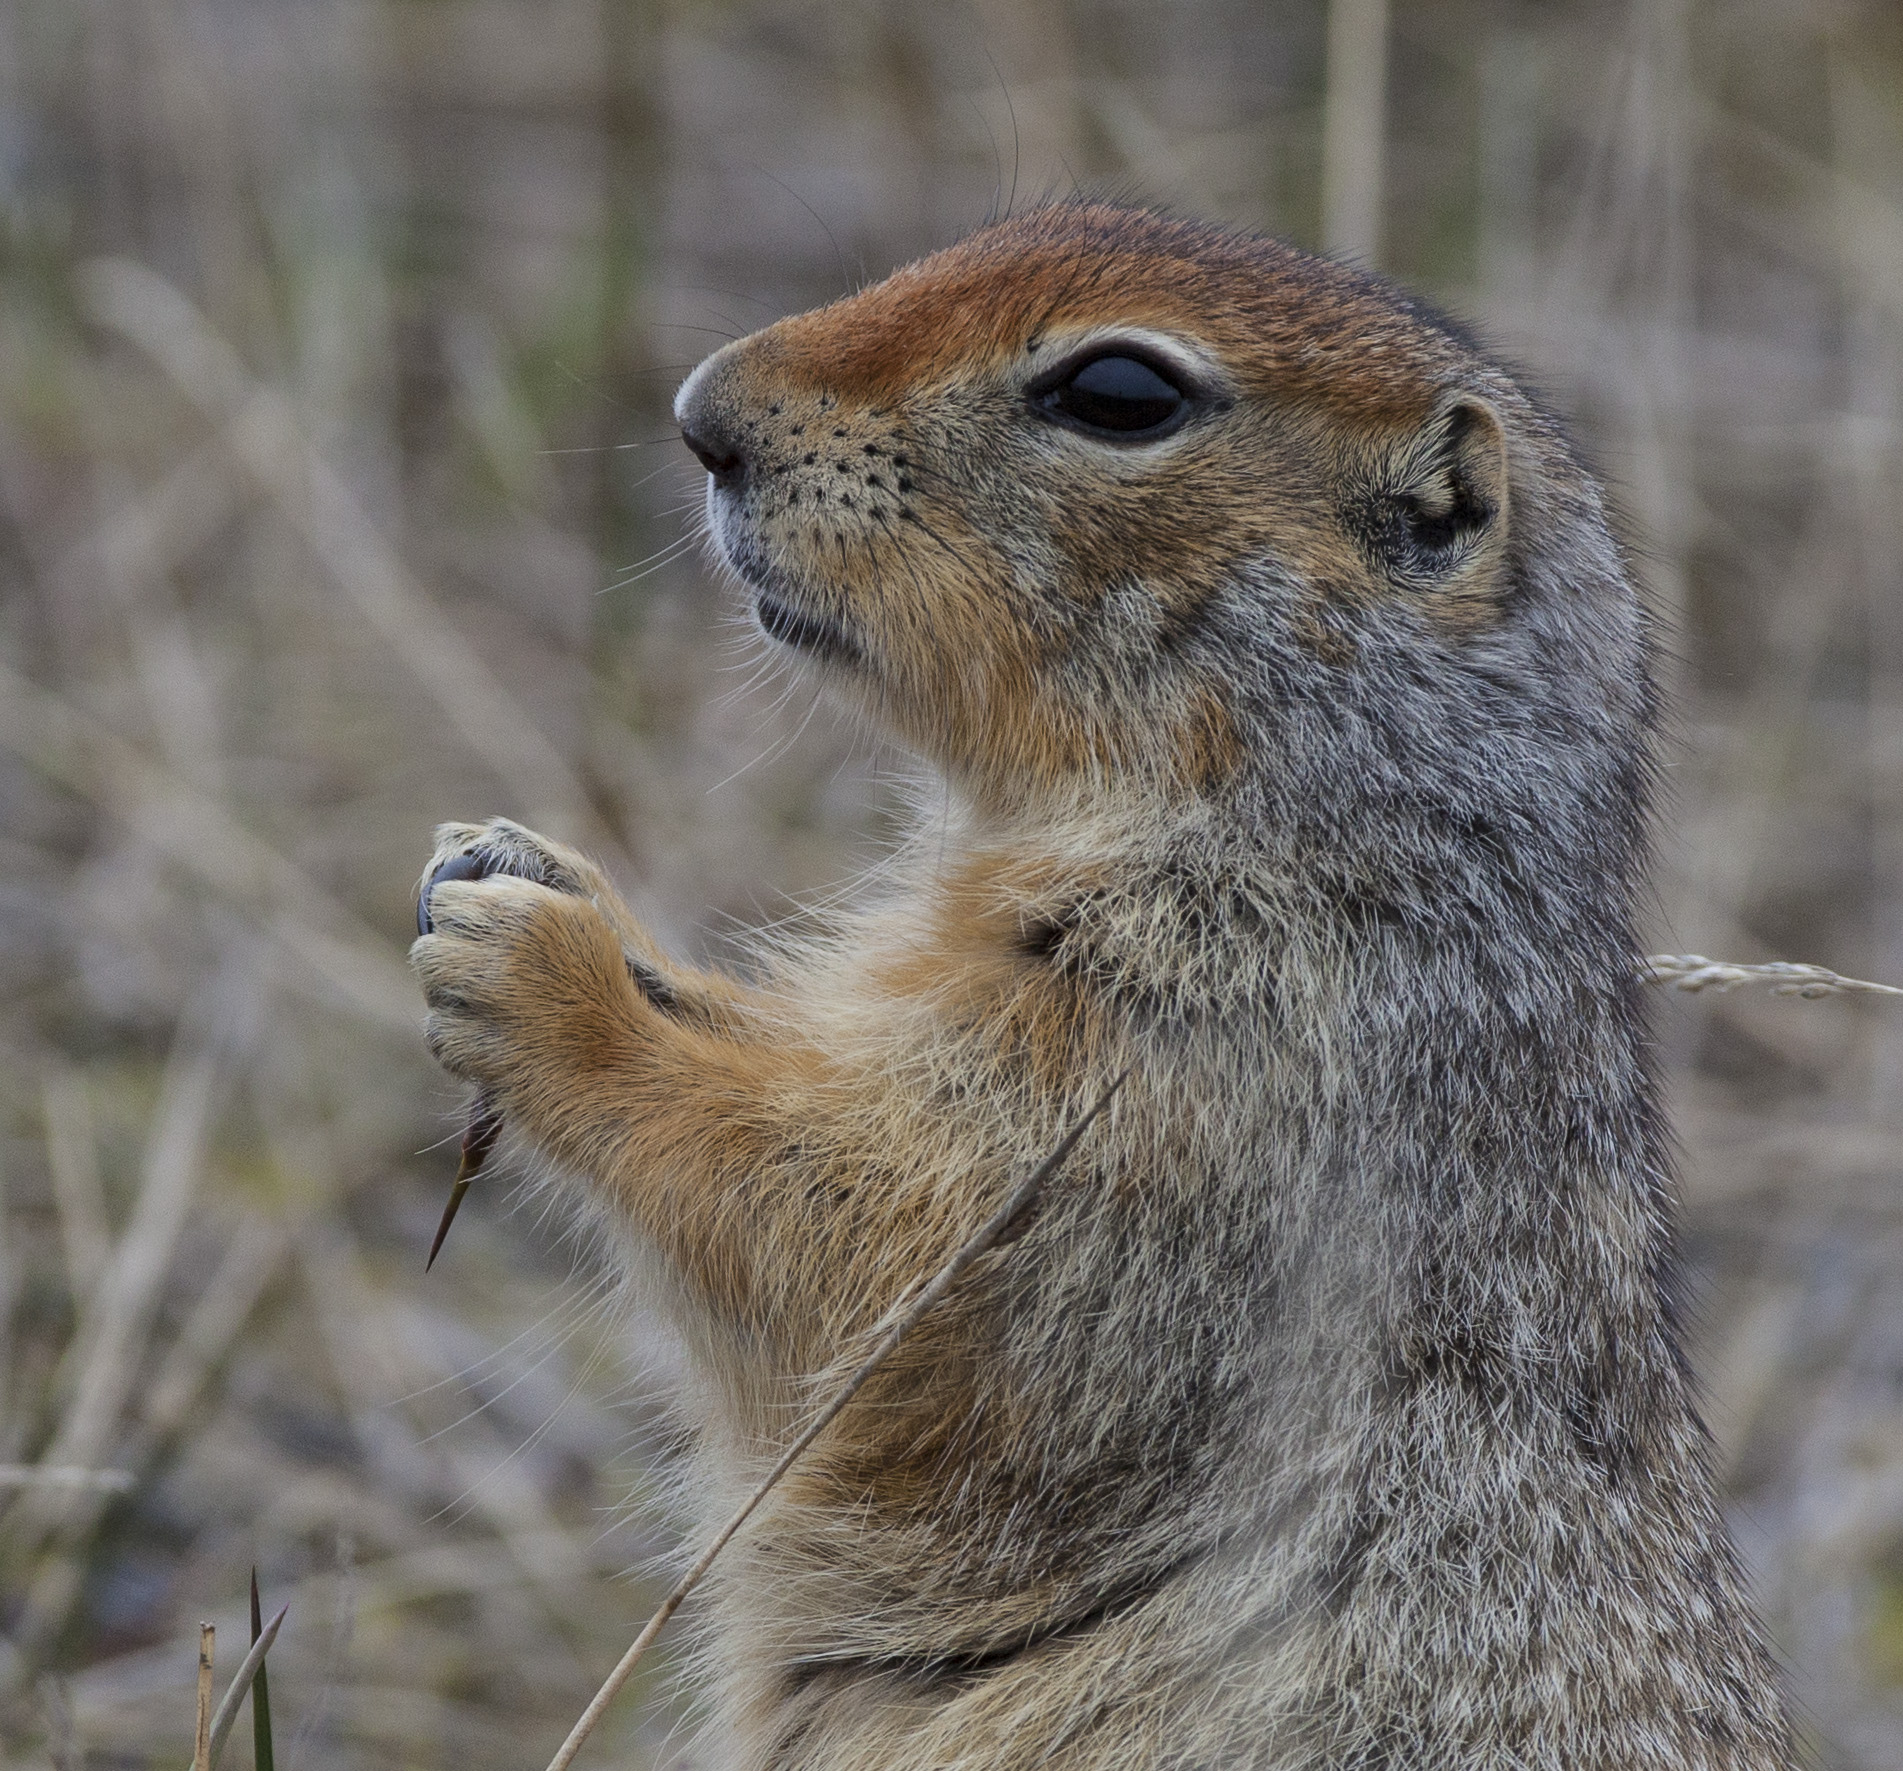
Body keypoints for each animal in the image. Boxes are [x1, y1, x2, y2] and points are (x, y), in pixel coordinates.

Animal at [412, 200, 1796, 1765]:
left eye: (1118, 393)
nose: (700, 416)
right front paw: (521, 867)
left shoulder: (1211, 1075)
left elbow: (871, 1241)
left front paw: (543, 970)